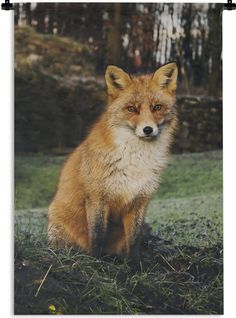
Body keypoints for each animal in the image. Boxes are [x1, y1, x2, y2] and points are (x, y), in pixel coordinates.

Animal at [47, 62, 177, 258]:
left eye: (156, 107)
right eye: (132, 109)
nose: (148, 129)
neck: (135, 161)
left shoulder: (140, 200)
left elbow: (134, 240)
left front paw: (134, 263)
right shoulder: (97, 197)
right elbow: (97, 236)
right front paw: (97, 261)